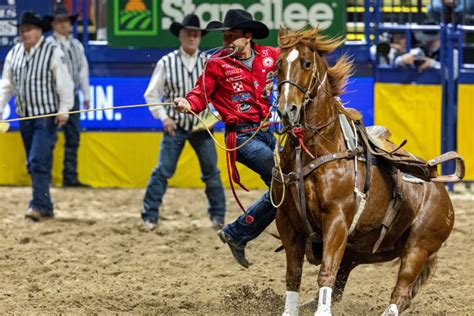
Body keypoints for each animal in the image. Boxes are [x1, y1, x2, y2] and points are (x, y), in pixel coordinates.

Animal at [274, 27, 456, 316]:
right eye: (279, 65)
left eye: (306, 63)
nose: (286, 110)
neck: (316, 150)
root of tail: (441, 191)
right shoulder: (287, 221)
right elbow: (294, 274)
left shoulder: (336, 220)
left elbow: (325, 272)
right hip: (359, 250)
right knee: (342, 287)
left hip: (419, 245)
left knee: (401, 292)